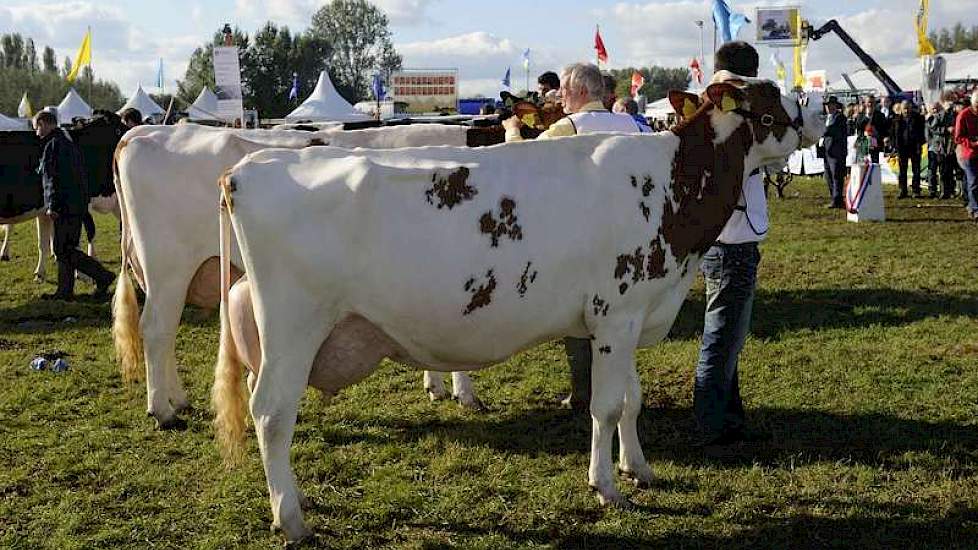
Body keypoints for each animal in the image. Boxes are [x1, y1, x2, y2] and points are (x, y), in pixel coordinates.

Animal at [112, 122, 488, 432]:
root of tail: (139, 134)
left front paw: (436, 386)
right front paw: (463, 393)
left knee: (166, 334)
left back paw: (178, 399)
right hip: (168, 267)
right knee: (157, 330)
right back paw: (163, 411)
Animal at [214, 81, 824, 544]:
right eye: (770, 104)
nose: (818, 111)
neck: (669, 189)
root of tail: (250, 166)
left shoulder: (631, 316)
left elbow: (632, 401)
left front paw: (640, 469)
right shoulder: (614, 314)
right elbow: (605, 406)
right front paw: (606, 486)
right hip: (294, 327)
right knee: (271, 413)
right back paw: (291, 518)